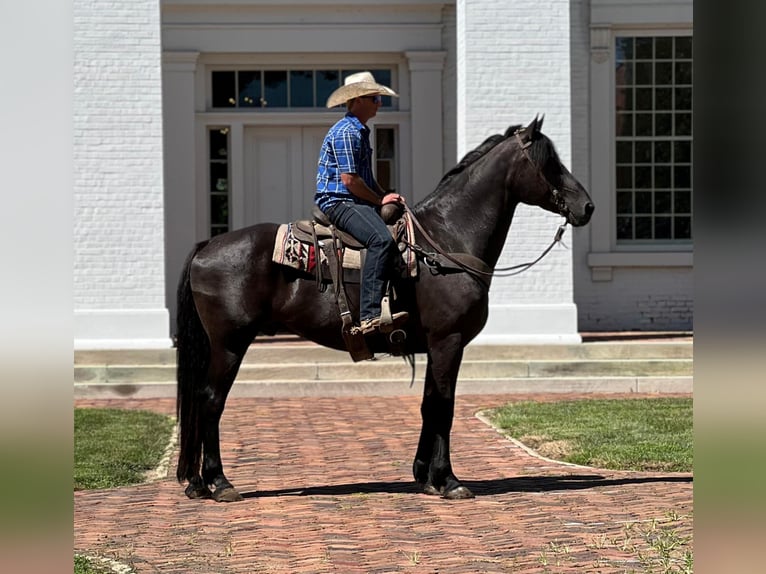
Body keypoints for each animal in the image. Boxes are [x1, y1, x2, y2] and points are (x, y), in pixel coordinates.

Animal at [174, 117, 592, 504]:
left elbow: (428, 405)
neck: (445, 243)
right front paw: (449, 480)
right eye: (550, 163)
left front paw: (425, 476)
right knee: (210, 401)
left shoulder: (436, 345)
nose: (586, 206)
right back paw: (220, 483)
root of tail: (207, 245)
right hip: (230, 343)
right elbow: (444, 407)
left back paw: (197, 483)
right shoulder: (449, 341)